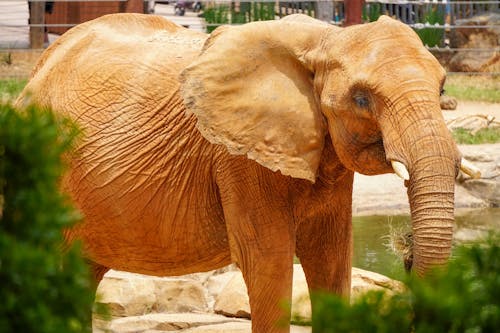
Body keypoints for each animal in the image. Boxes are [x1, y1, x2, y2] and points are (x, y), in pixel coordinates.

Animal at [15, 13, 478, 332]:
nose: (406, 251)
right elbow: (268, 261)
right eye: (362, 99)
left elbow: (332, 257)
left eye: (441, 89)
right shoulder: (238, 158)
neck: (325, 38)